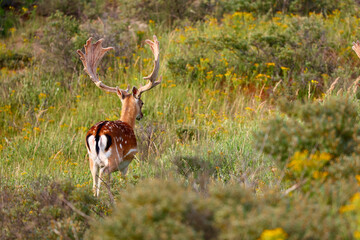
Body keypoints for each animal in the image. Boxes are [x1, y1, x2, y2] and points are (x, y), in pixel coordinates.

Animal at [77, 35, 162, 197]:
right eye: (142, 102)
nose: (141, 115)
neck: (127, 122)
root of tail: (97, 134)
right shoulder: (127, 162)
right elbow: (125, 180)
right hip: (113, 159)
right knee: (104, 174)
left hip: (91, 159)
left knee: (94, 180)